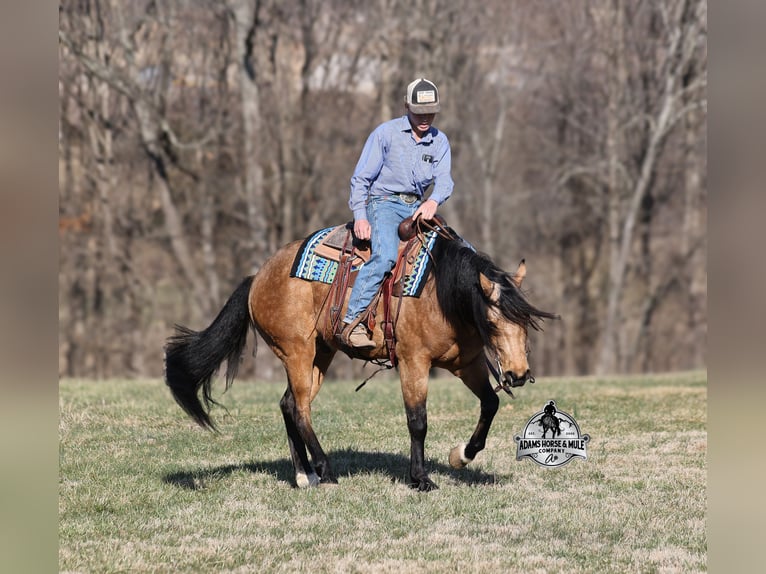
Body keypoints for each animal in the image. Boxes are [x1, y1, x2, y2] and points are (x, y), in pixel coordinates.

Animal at [164, 226, 557, 491]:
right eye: (491, 322)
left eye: (526, 323)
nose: (518, 373)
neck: (439, 293)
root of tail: (257, 277)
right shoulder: (413, 363)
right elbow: (418, 421)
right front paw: (421, 479)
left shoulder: (466, 364)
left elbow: (490, 404)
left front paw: (461, 455)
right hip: (297, 351)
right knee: (300, 409)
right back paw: (325, 470)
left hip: (320, 354)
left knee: (289, 404)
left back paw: (304, 475)